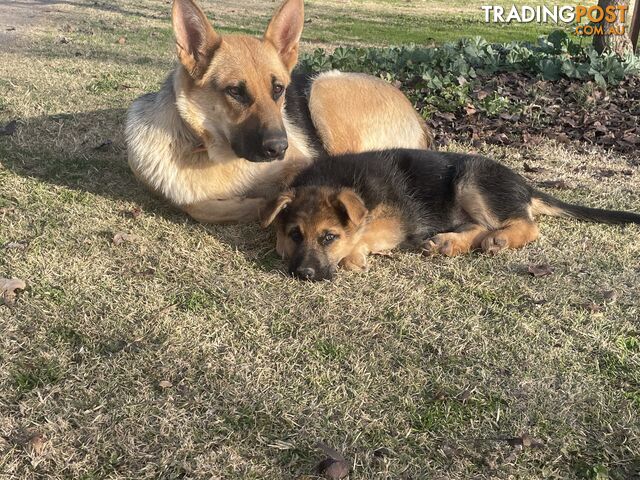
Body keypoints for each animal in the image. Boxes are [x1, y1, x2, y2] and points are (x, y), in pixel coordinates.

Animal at [124, 0, 430, 223]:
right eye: (235, 91)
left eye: (279, 89)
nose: (279, 148)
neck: (209, 152)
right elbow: (199, 207)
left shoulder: (302, 163)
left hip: (322, 89)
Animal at [262, 148, 640, 280]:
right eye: (295, 234)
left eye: (329, 236)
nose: (304, 275)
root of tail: (525, 184)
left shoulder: (396, 220)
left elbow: (364, 233)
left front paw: (353, 254)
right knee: (477, 227)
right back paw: (447, 243)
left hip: (470, 179)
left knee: (526, 226)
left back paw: (499, 239)